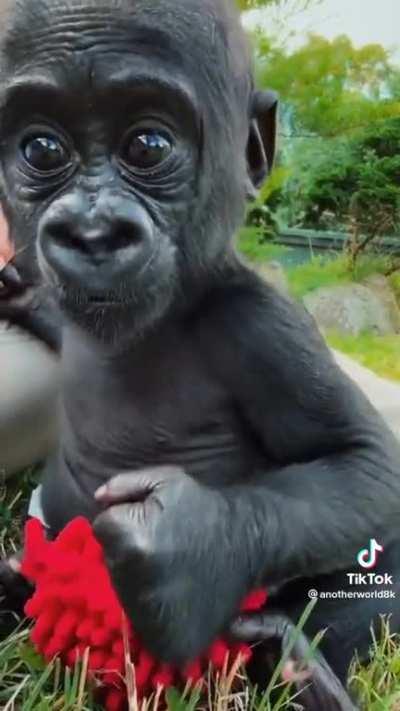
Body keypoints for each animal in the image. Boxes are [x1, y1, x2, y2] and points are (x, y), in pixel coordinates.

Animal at [1, 1, 400, 709]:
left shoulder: (264, 326)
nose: (93, 232)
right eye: (42, 149)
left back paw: (290, 656)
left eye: (148, 147)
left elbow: (363, 463)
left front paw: (186, 547)